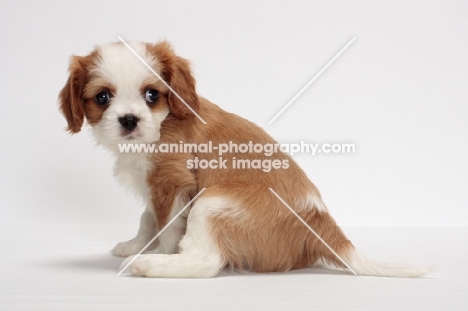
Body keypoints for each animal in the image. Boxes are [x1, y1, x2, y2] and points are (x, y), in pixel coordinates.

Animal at [59, 40, 428, 278]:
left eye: (152, 95)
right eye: (102, 98)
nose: (129, 120)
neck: (163, 123)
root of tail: (324, 225)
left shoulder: (173, 181)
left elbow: (165, 226)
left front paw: (158, 252)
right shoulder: (153, 184)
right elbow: (147, 217)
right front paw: (135, 244)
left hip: (214, 201)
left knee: (208, 261)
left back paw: (151, 266)